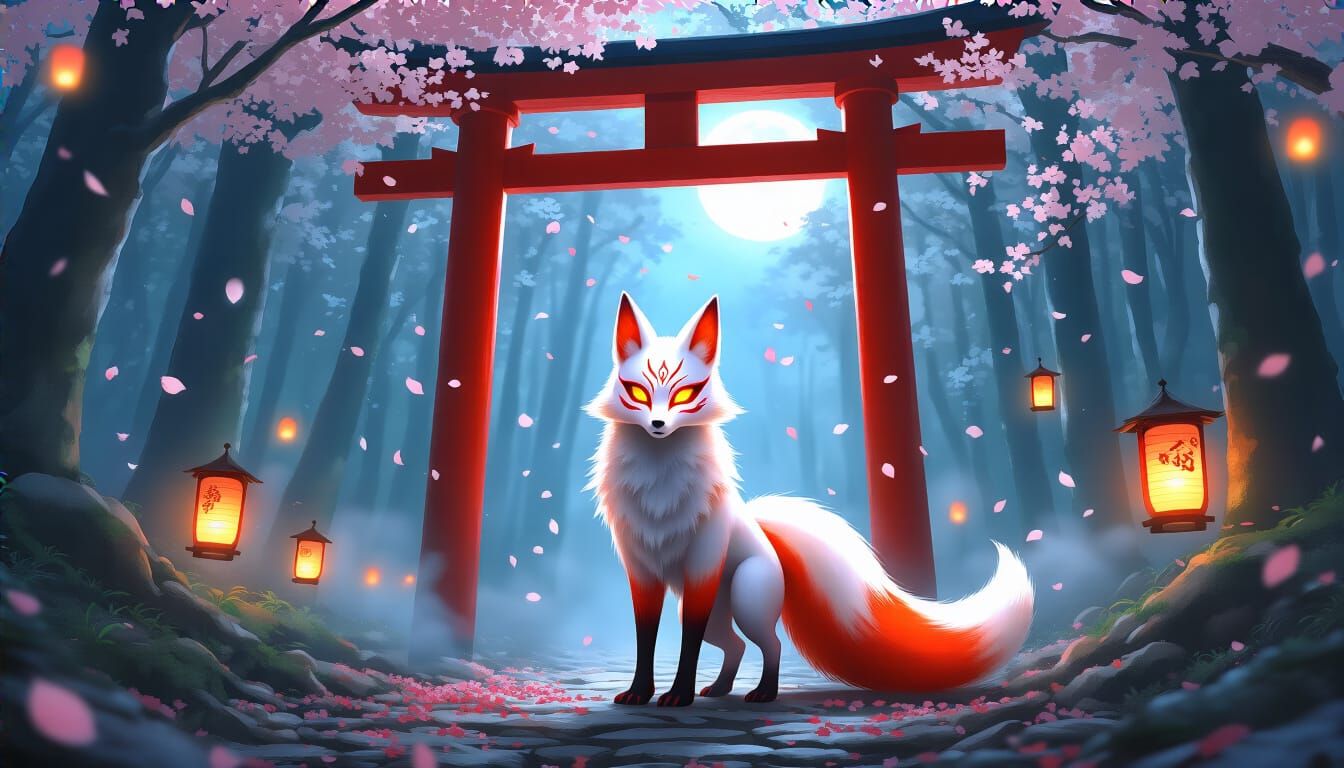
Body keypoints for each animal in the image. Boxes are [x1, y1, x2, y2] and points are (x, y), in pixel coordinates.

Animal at [585, 293, 1035, 706]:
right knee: (737, 645)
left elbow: (687, 645)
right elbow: (645, 637)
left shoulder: (701, 569)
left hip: (744, 601)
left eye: (684, 394)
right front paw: (640, 692)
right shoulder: (641, 570)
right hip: (722, 612)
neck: (658, 490)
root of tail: (765, 537)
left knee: (770, 644)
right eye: (637, 392)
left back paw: (762, 693)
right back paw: (722, 688)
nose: (659, 424)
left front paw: (679, 694)